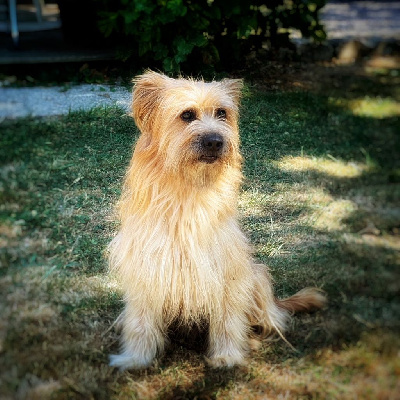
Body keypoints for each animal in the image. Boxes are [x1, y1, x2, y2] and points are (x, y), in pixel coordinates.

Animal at [108, 70, 326, 370]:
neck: (188, 196)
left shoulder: (228, 271)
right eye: (187, 115)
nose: (214, 141)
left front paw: (227, 357)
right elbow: (141, 322)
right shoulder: (147, 270)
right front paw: (135, 358)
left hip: (256, 277)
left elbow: (228, 320)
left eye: (222, 113)